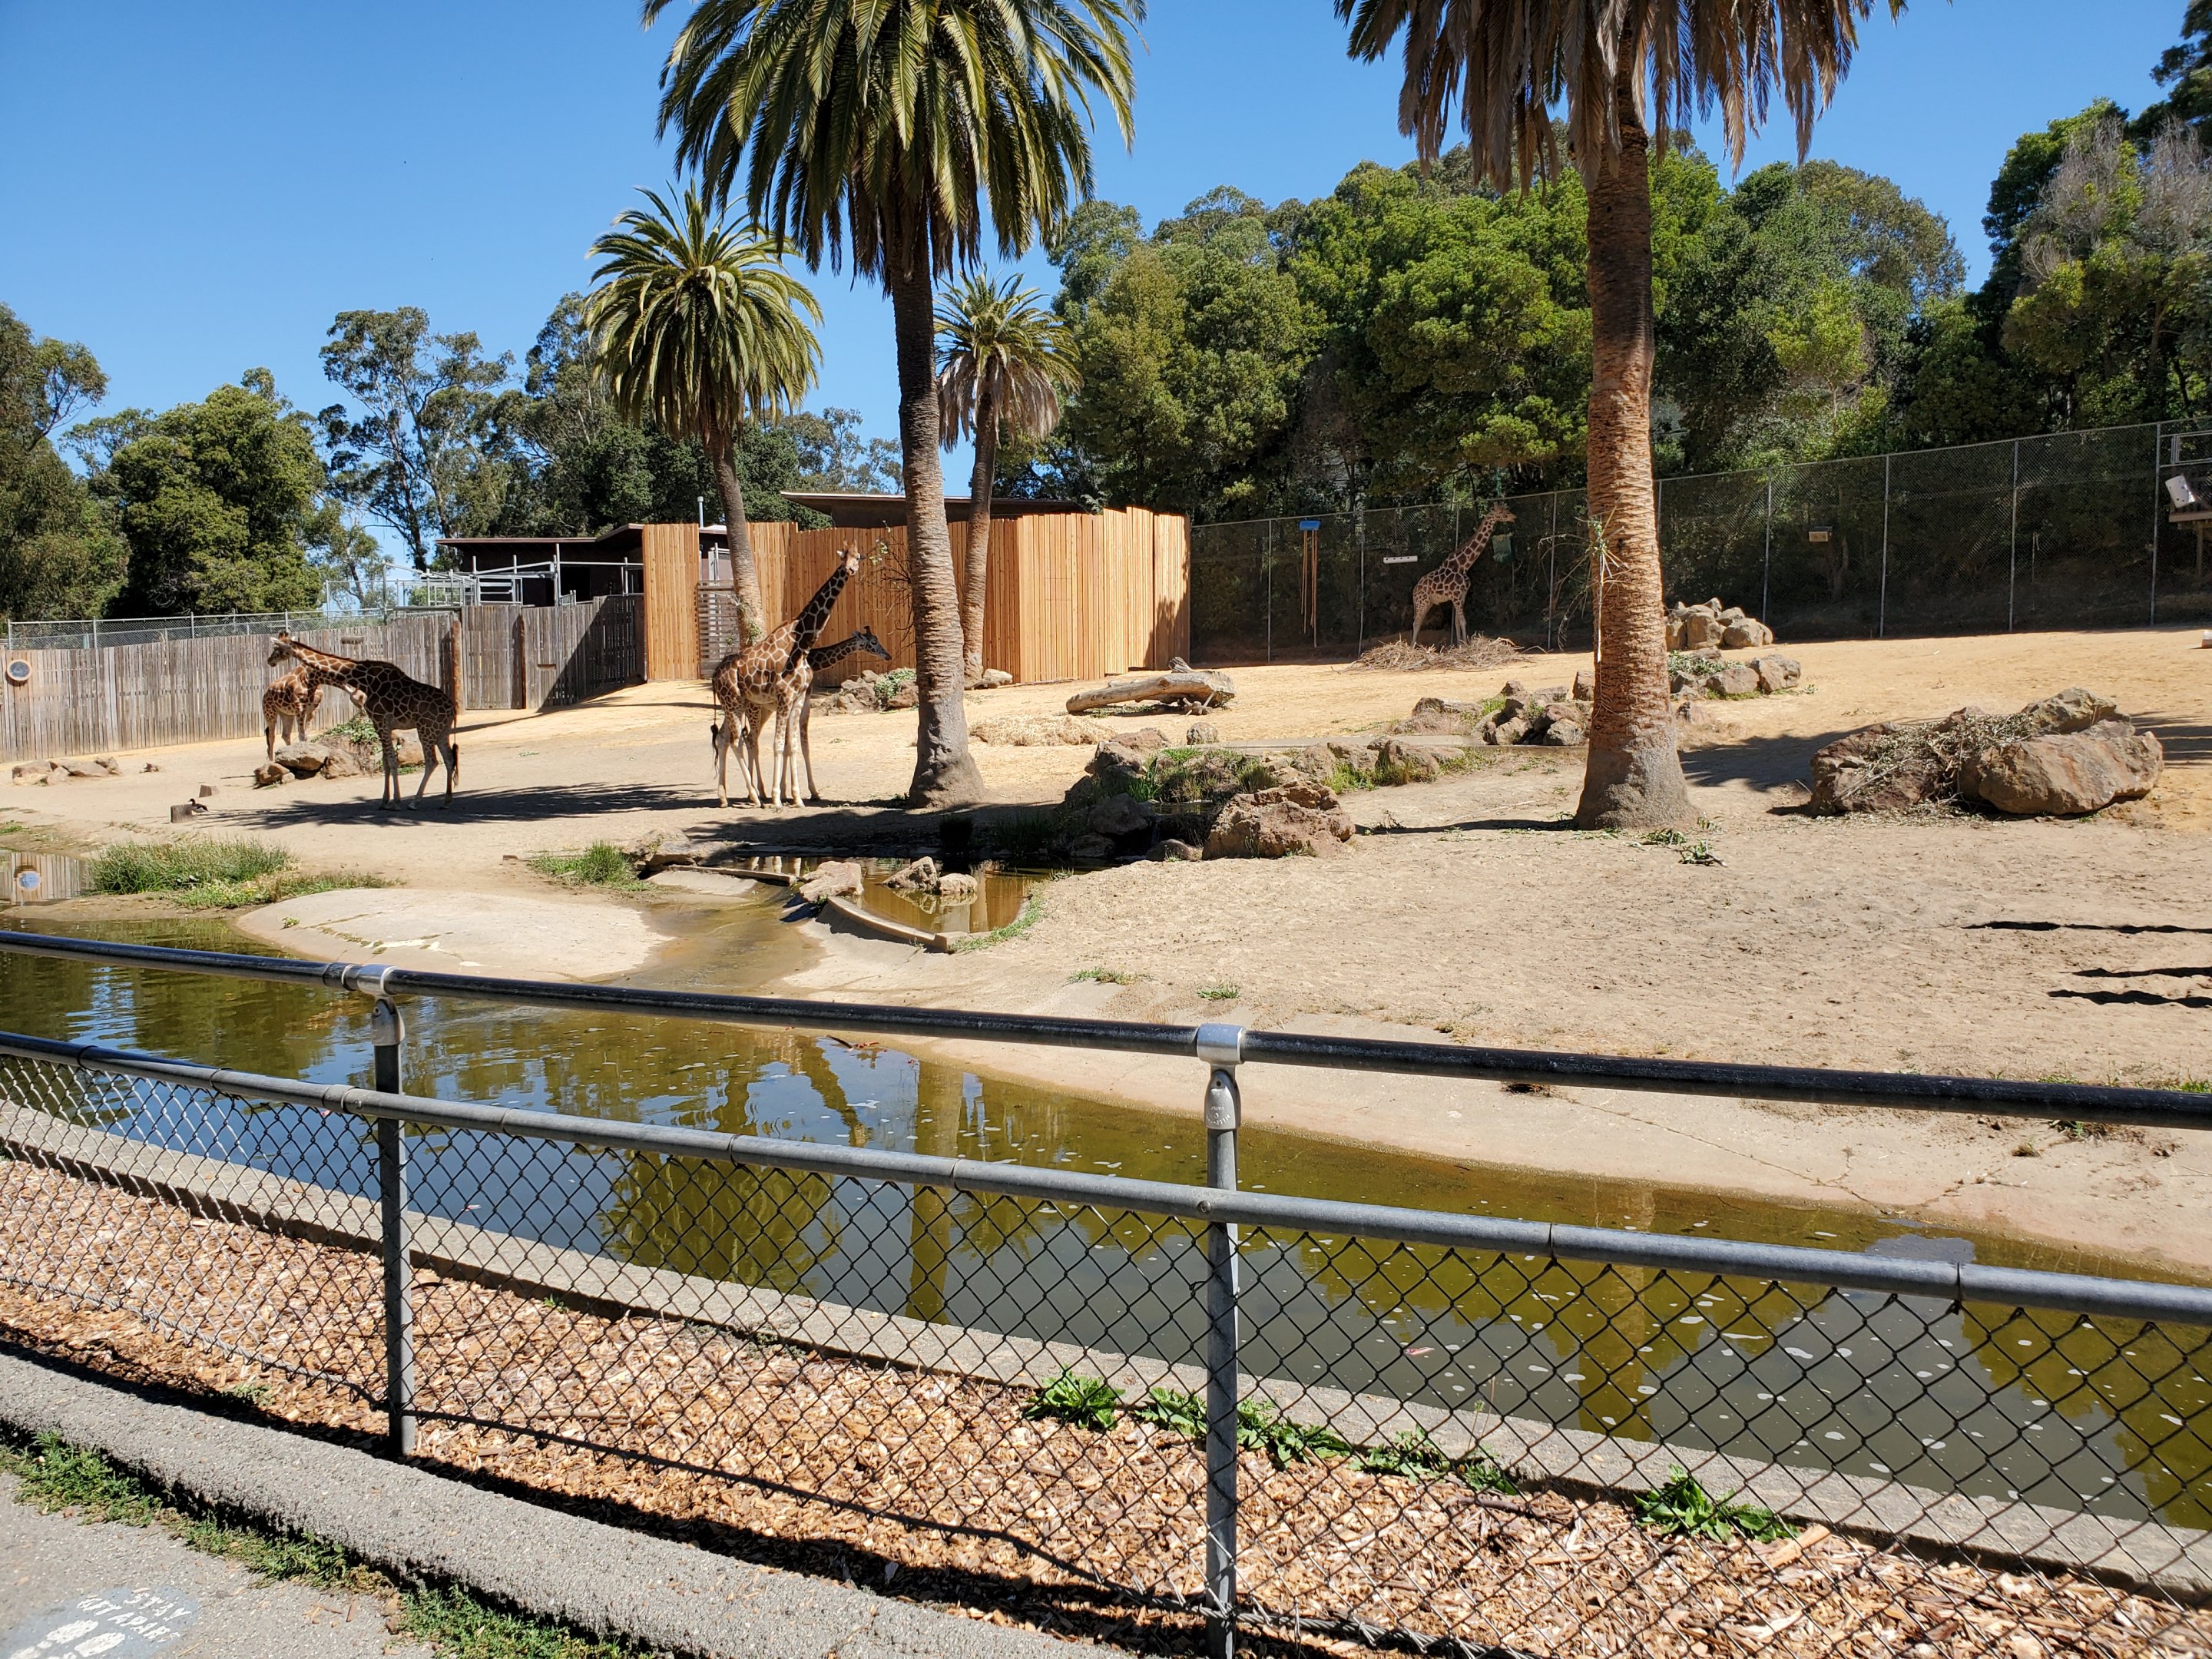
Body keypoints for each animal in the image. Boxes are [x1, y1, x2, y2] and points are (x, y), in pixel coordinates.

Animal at [268, 629, 461, 808]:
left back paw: (415, 802)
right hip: (442, 731)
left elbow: (391, 760)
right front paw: (384, 801)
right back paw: (447, 800)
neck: (365, 681)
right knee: (449, 758)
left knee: (432, 761)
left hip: (426, 729)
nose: (270, 661)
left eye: (277, 648)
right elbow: (385, 761)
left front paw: (396, 801)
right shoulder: (381, 725)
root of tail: (451, 709)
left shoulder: (381, 721)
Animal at [708, 549, 862, 807]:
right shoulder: (785, 697)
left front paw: (796, 796)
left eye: (858, 557)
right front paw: (778, 797)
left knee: (725, 738)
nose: (850, 570)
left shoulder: (797, 698)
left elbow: (794, 745)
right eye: (845, 558)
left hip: (735, 705)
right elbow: (780, 744)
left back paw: (725, 797)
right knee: (740, 740)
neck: (802, 644)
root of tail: (714, 675)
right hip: (738, 704)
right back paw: (755, 795)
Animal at [1410, 501, 1516, 650]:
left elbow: (1457, 622)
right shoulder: (1456, 596)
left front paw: (1460, 645)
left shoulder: (1461, 596)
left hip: (1428, 603)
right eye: (1501, 512)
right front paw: (1466, 646)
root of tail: (1414, 590)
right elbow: (1463, 621)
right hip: (1422, 602)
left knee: (1418, 622)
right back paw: (1412, 648)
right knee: (1416, 622)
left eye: (1505, 509)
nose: (1513, 517)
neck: (1463, 565)